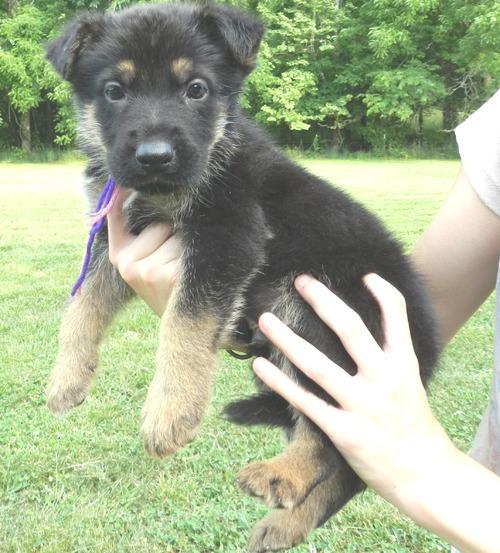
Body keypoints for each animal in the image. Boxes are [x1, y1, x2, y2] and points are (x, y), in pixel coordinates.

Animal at [46, 2, 438, 548]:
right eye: (114, 91)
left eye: (196, 89)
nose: (154, 157)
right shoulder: (115, 243)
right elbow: (82, 302)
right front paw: (67, 377)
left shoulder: (228, 234)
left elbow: (183, 323)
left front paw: (170, 411)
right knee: (345, 463)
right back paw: (286, 523)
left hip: (318, 316)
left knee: (330, 431)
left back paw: (284, 474)